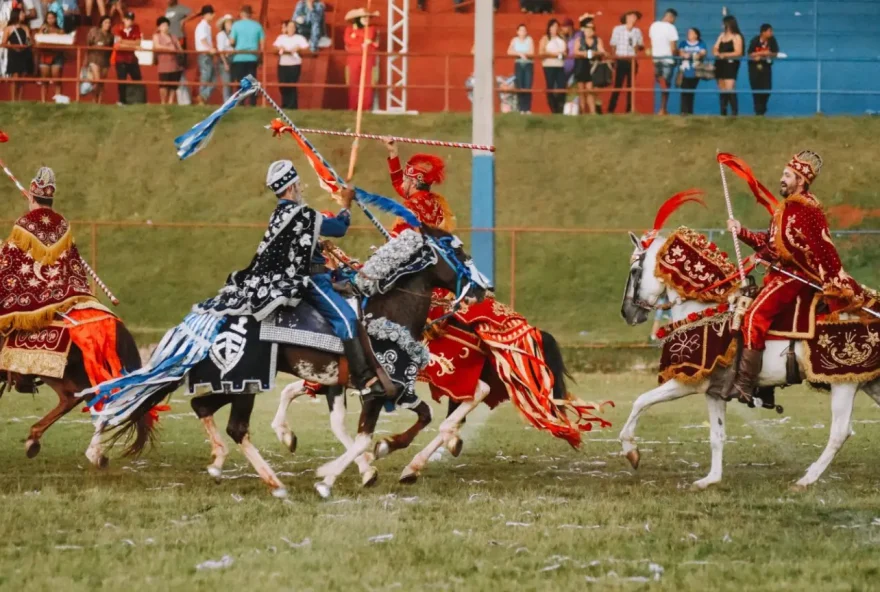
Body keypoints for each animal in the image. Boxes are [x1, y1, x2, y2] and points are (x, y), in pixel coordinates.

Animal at [620, 227, 880, 490]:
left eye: (634, 271)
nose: (627, 313)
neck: (706, 310)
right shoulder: (715, 391)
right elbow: (717, 435)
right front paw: (711, 479)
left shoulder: (688, 381)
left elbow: (640, 401)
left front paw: (631, 450)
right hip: (870, 383)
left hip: (843, 383)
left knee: (840, 432)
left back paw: (806, 479)